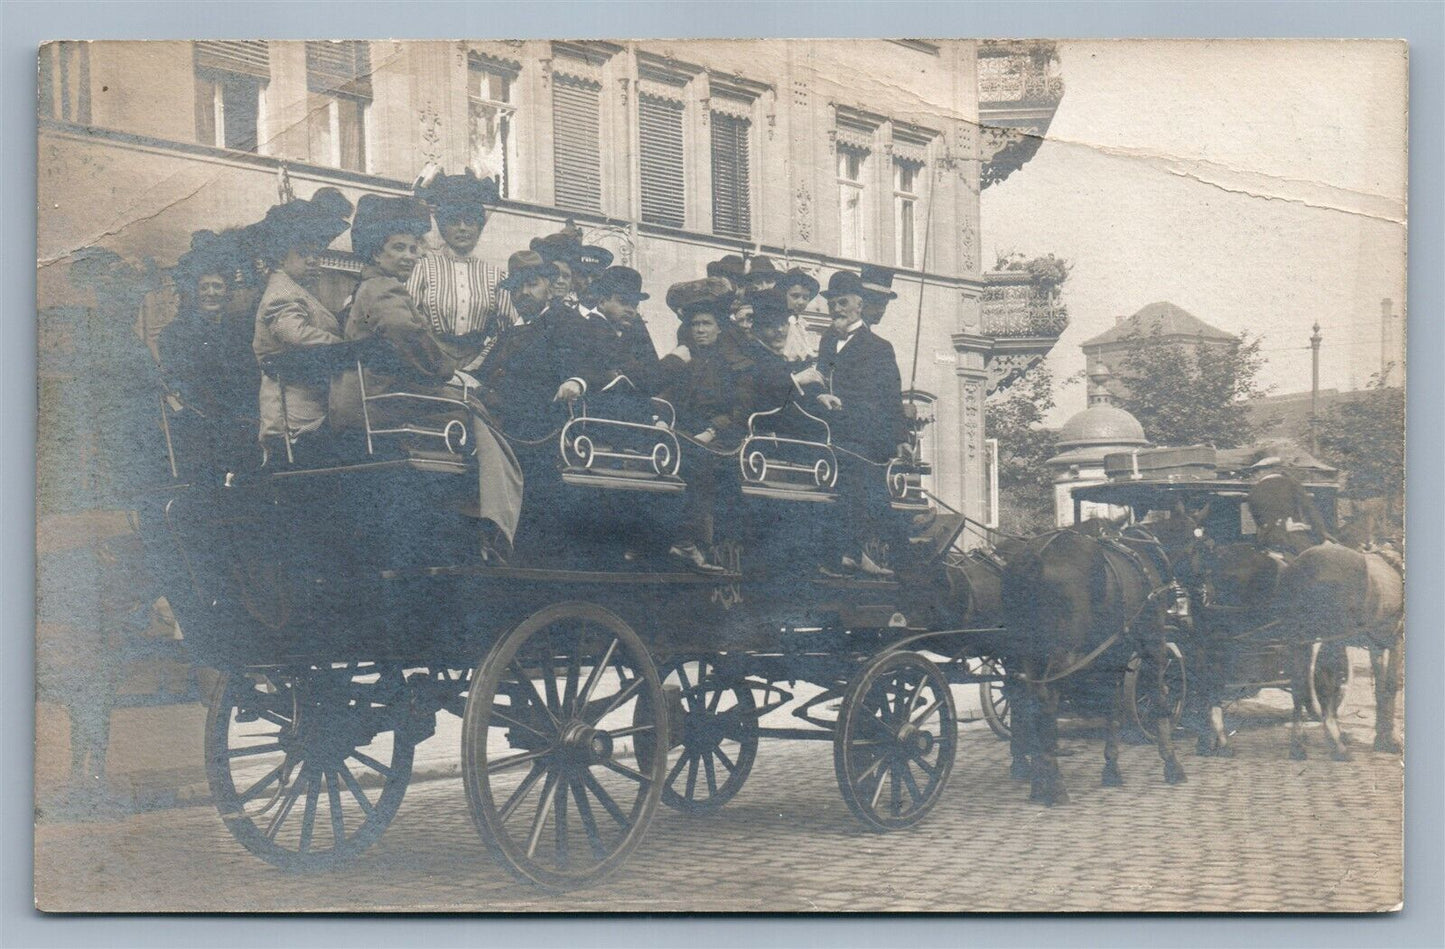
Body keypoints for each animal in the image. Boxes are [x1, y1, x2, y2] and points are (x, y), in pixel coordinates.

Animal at [999, 522, 1190, 803]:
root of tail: (1036, 556)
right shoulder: (1153, 643)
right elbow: (1160, 698)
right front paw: (1172, 763)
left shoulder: (1112, 656)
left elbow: (1112, 707)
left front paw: (1111, 767)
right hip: (1062, 655)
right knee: (1046, 702)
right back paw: (1054, 784)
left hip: (1023, 655)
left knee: (1024, 700)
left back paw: (1037, 781)